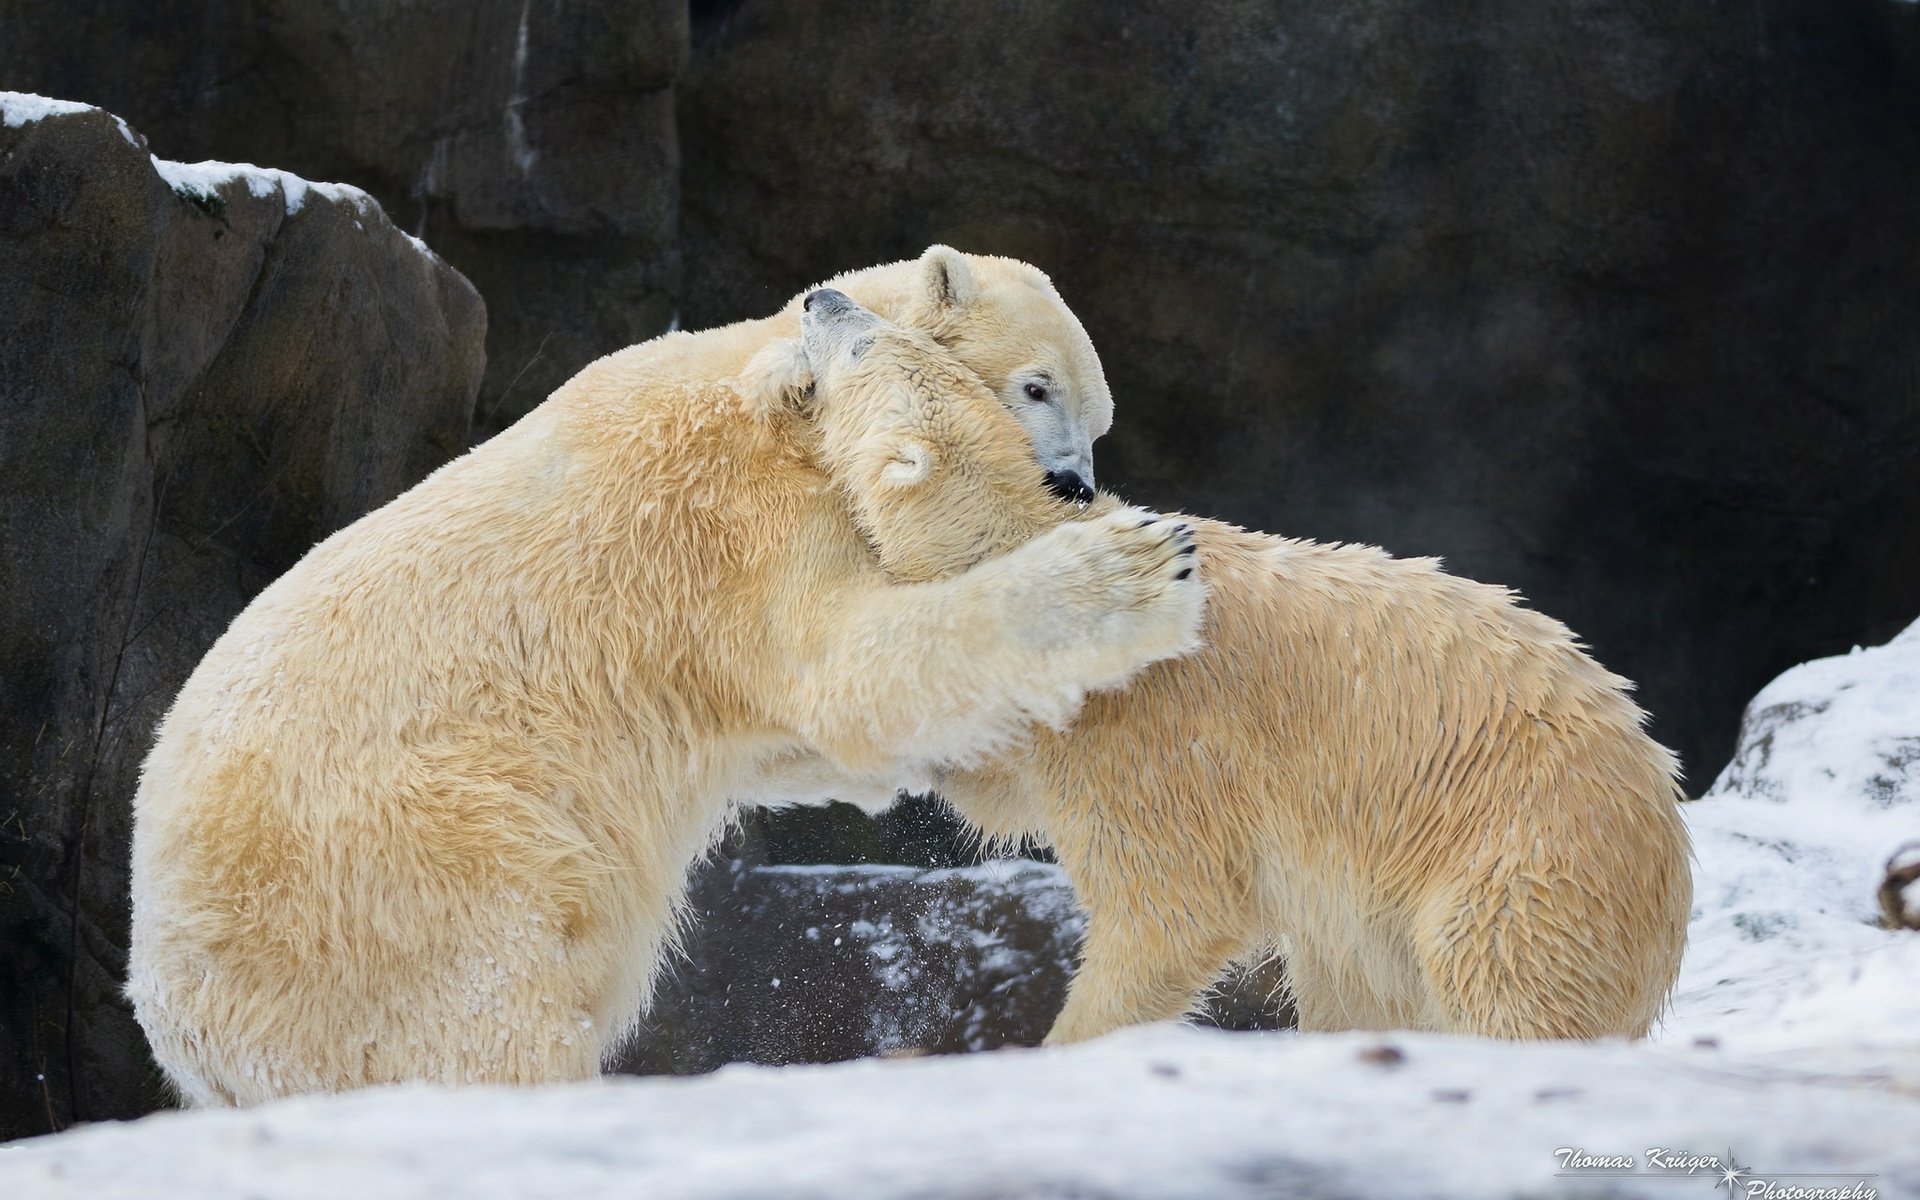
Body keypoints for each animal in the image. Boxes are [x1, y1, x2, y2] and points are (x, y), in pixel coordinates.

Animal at [127, 255, 1190, 1105]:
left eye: (1097, 416)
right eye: (1038, 386)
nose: (1074, 486)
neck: (781, 388)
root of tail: (180, 1025)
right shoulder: (743, 521)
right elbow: (846, 670)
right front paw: (1136, 573)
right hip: (412, 872)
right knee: (486, 1024)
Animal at [802, 297, 1689, 1036]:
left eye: (867, 340)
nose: (823, 298)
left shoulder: (1150, 736)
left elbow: (1172, 910)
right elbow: (1005, 775)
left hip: (1525, 856)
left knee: (1501, 977)